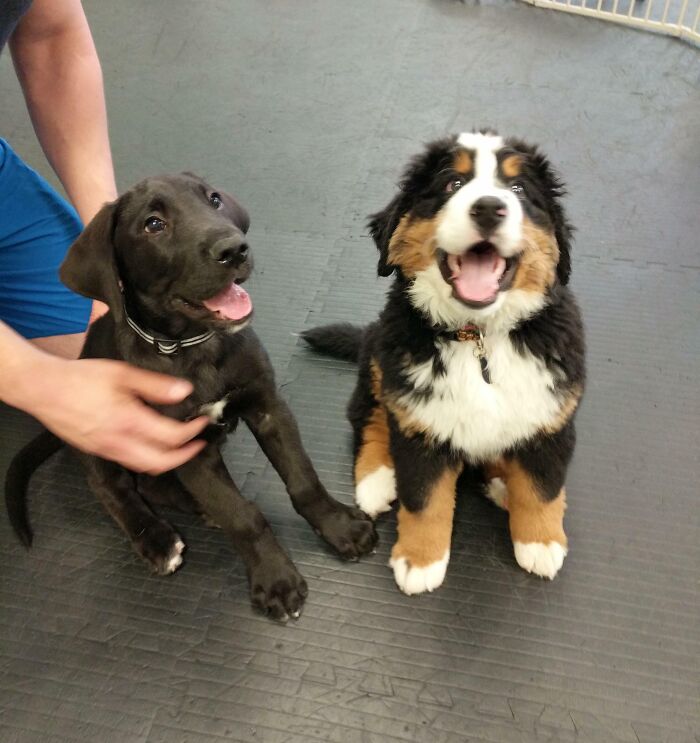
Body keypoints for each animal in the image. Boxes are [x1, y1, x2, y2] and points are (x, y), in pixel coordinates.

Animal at [6, 173, 378, 620]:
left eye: (214, 200)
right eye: (153, 224)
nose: (234, 249)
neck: (194, 347)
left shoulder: (267, 406)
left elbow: (302, 478)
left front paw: (340, 527)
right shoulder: (184, 444)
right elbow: (243, 515)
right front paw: (275, 577)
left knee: (155, 486)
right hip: (96, 435)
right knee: (115, 488)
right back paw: (157, 539)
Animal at [304, 132, 584, 600]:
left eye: (519, 189)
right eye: (453, 183)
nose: (489, 207)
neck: (479, 336)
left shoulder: (550, 417)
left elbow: (542, 490)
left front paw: (541, 542)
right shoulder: (420, 422)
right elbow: (424, 500)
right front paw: (419, 561)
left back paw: (501, 481)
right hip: (379, 362)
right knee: (368, 418)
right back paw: (377, 481)